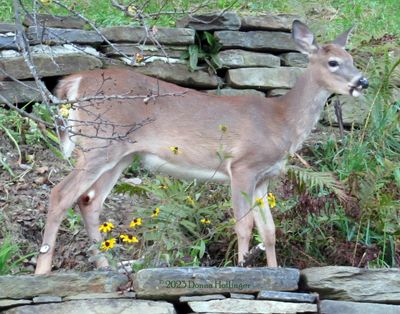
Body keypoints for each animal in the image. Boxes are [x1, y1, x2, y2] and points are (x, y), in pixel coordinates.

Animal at [34, 20, 368, 274]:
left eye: (352, 59)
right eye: (333, 62)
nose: (362, 82)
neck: (281, 120)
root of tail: (76, 81)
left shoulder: (264, 178)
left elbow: (270, 231)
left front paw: (273, 271)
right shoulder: (242, 166)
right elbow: (244, 225)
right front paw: (243, 269)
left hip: (121, 154)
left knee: (89, 201)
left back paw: (106, 267)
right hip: (100, 143)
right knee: (61, 194)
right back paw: (43, 270)